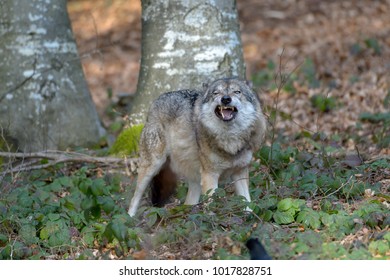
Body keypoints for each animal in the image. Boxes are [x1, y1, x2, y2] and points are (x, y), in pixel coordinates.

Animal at [128, 77, 268, 218]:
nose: (226, 99)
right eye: (216, 93)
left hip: (195, 181)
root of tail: (156, 100)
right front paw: (211, 220)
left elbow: (247, 202)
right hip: (152, 167)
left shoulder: (240, 172)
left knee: (188, 203)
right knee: (134, 198)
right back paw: (130, 218)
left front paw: (250, 218)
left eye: (237, 92)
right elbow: (211, 204)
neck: (230, 138)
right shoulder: (210, 175)